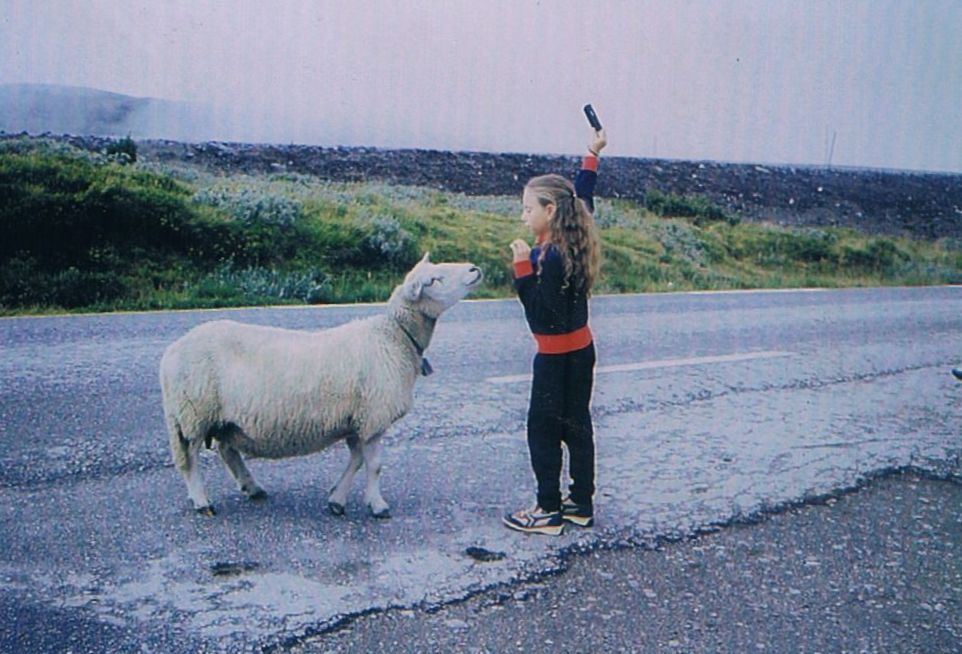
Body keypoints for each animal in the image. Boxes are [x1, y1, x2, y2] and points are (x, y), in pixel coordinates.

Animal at [162, 254, 488, 520]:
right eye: (434, 279)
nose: (475, 268)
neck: (394, 337)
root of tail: (173, 350)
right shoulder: (373, 417)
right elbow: (374, 465)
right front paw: (378, 505)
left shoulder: (358, 419)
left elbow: (357, 461)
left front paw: (337, 500)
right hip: (192, 413)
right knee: (190, 459)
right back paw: (202, 502)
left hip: (223, 418)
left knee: (227, 451)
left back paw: (252, 487)